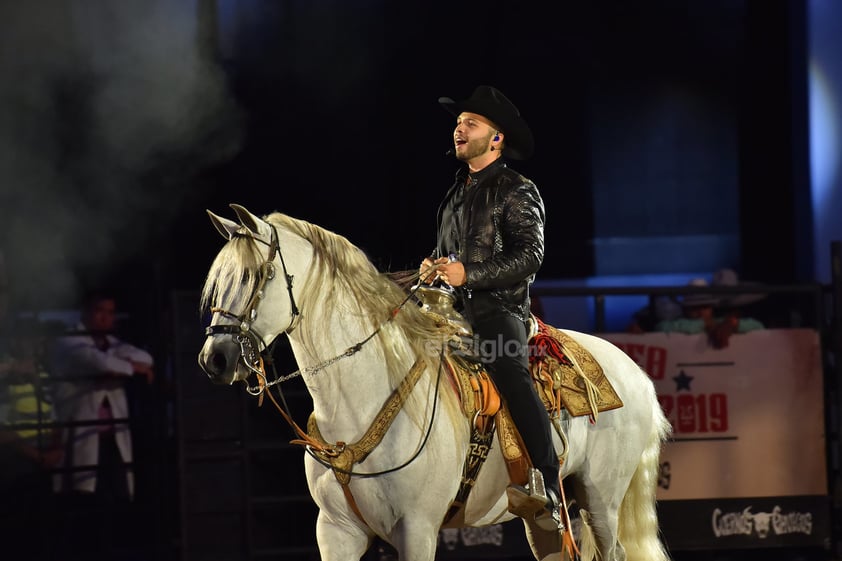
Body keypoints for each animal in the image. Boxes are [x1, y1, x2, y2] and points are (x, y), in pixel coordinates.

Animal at [195, 203, 668, 560]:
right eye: (219, 282)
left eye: (256, 275)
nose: (215, 359)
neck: (363, 400)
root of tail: (636, 375)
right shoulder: (335, 530)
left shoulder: (417, 530)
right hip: (547, 521)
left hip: (601, 499)